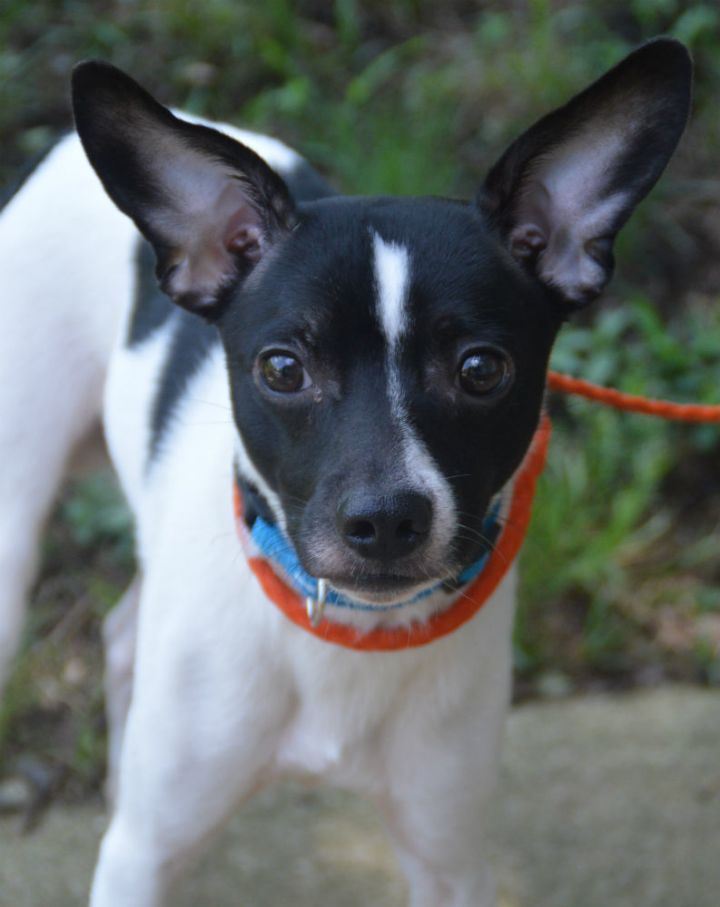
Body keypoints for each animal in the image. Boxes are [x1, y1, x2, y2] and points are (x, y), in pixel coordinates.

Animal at [0, 37, 692, 907]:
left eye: (481, 369)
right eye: (282, 368)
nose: (387, 519)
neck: (347, 636)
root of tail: (61, 149)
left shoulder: (448, 859)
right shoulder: (142, 858)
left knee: (125, 629)